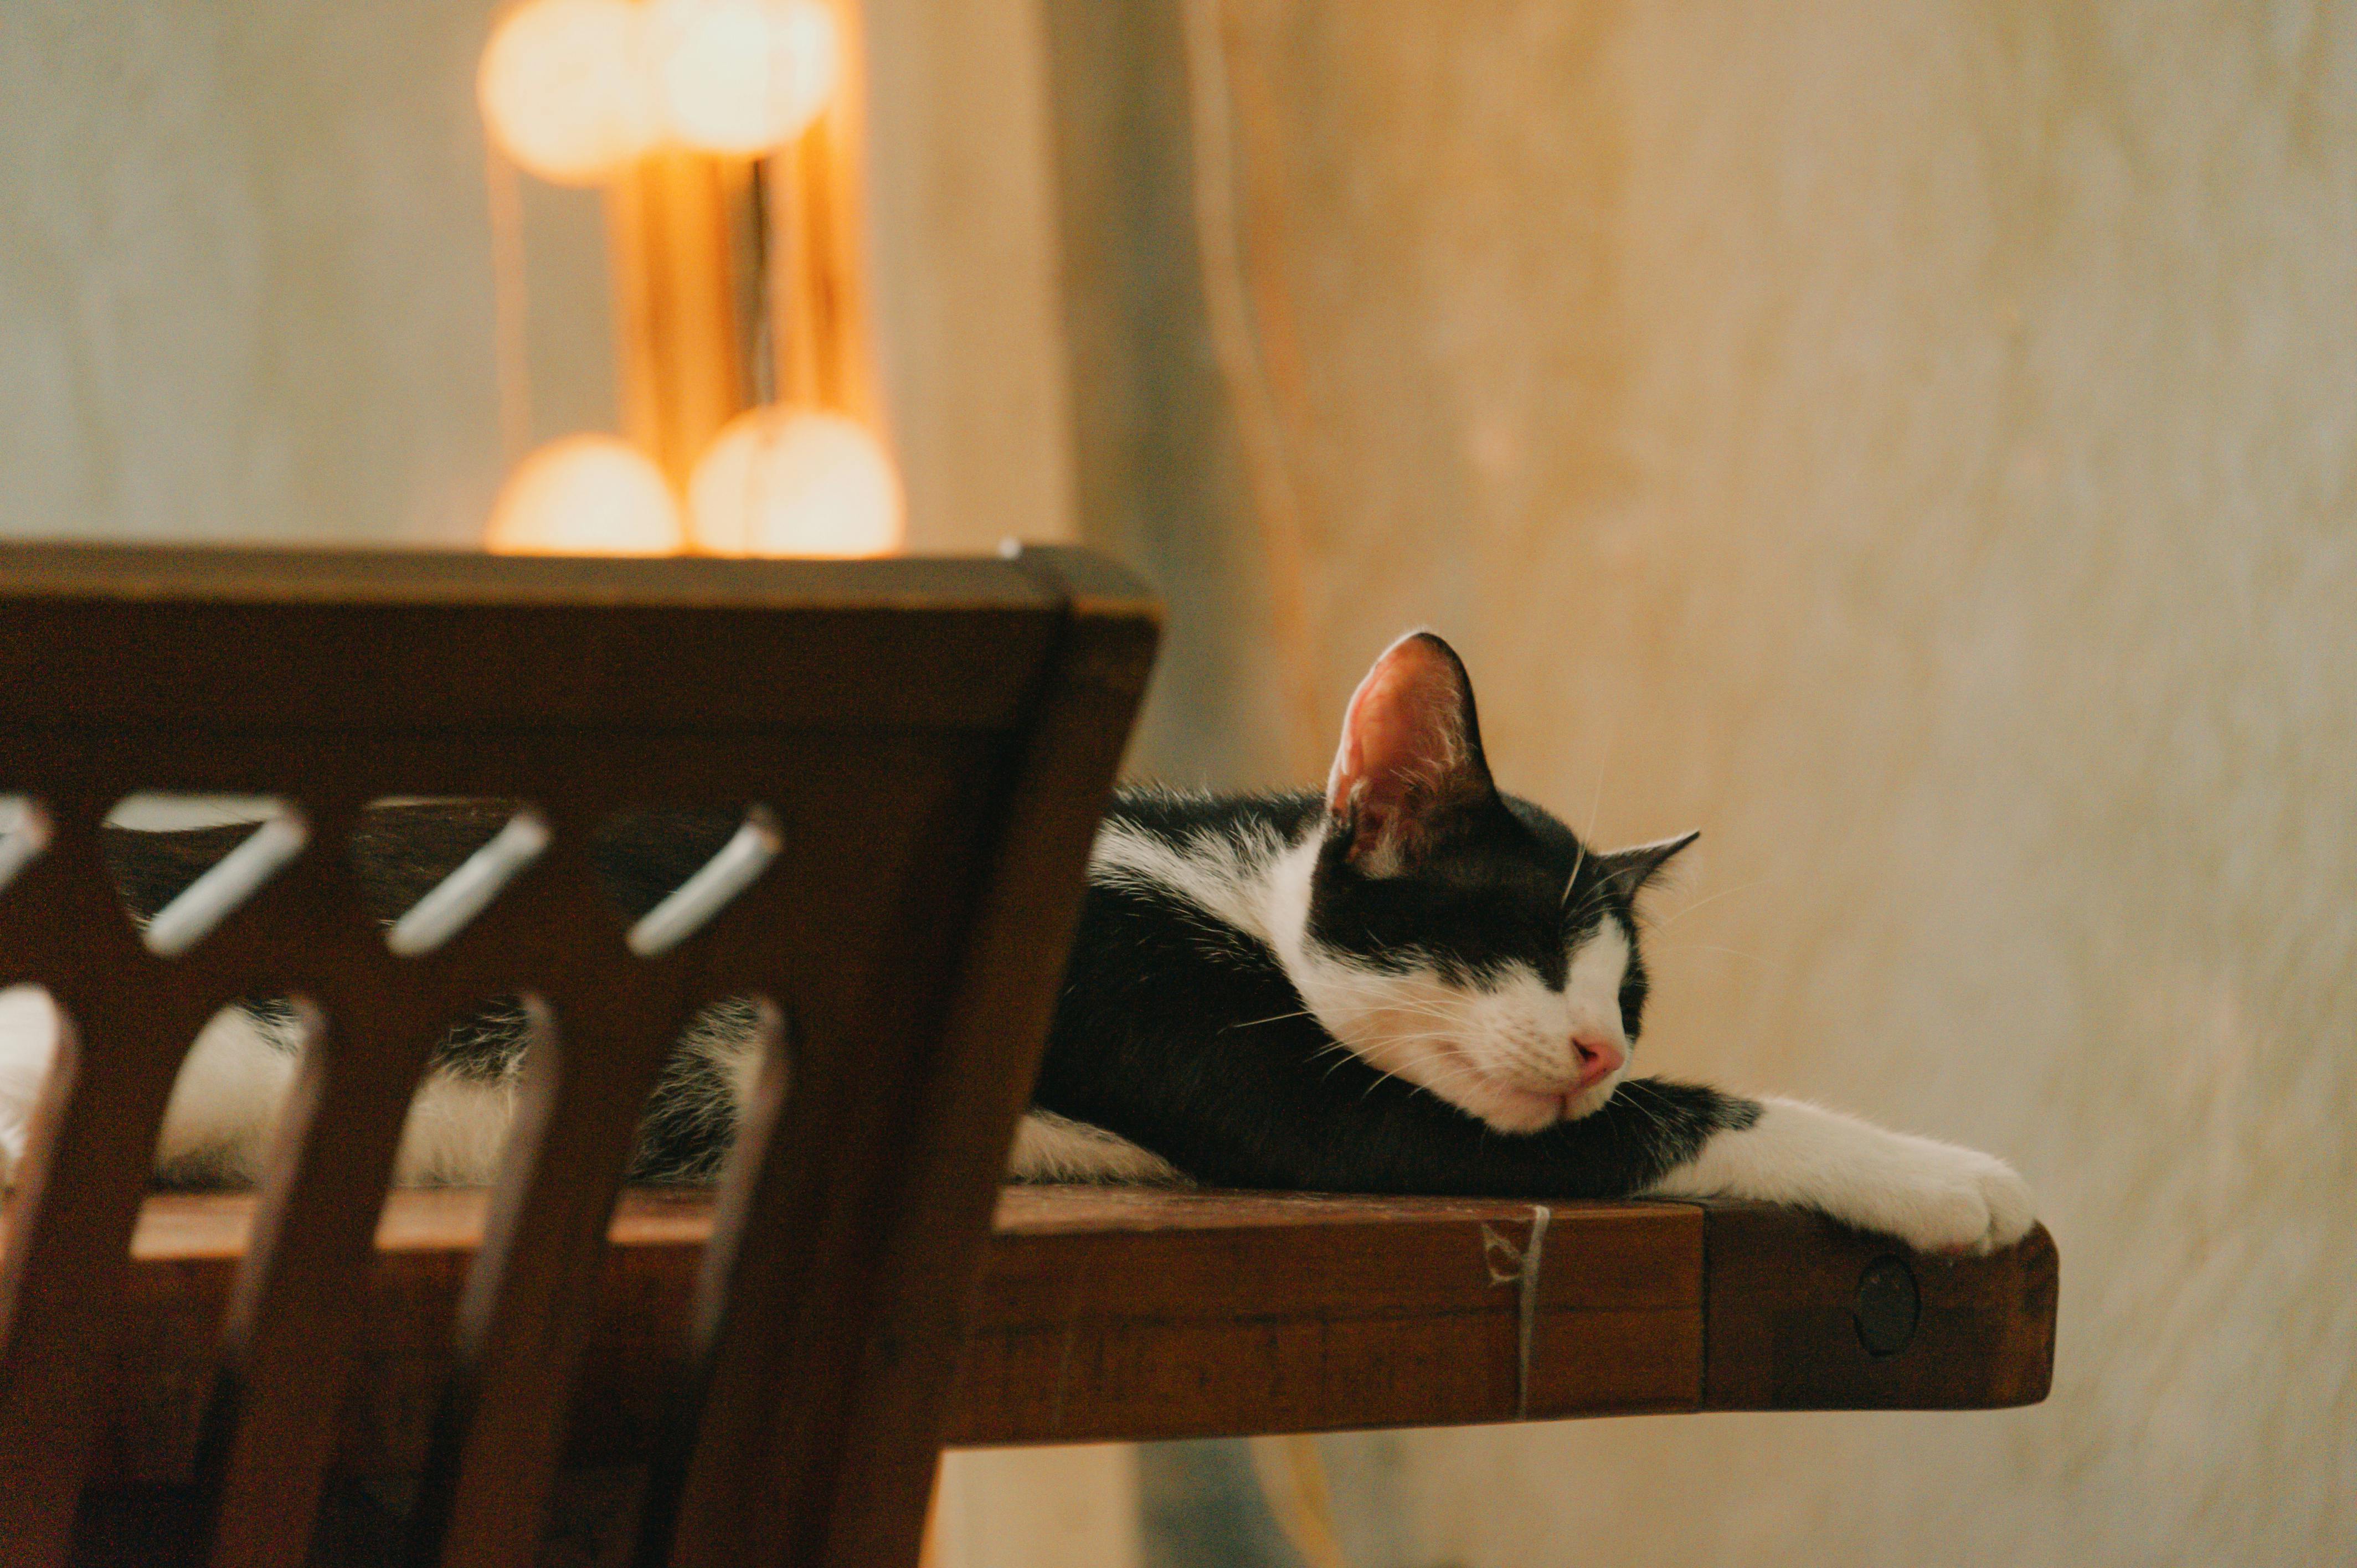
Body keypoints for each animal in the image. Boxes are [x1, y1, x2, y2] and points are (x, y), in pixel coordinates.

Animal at [0, 632, 2027, 1254]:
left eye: (1627, 986)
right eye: (1525, 947)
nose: (1596, 1044)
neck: (1225, 900)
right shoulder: (1275, 1088)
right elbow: (1691, 1125)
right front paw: (1954, 1176)